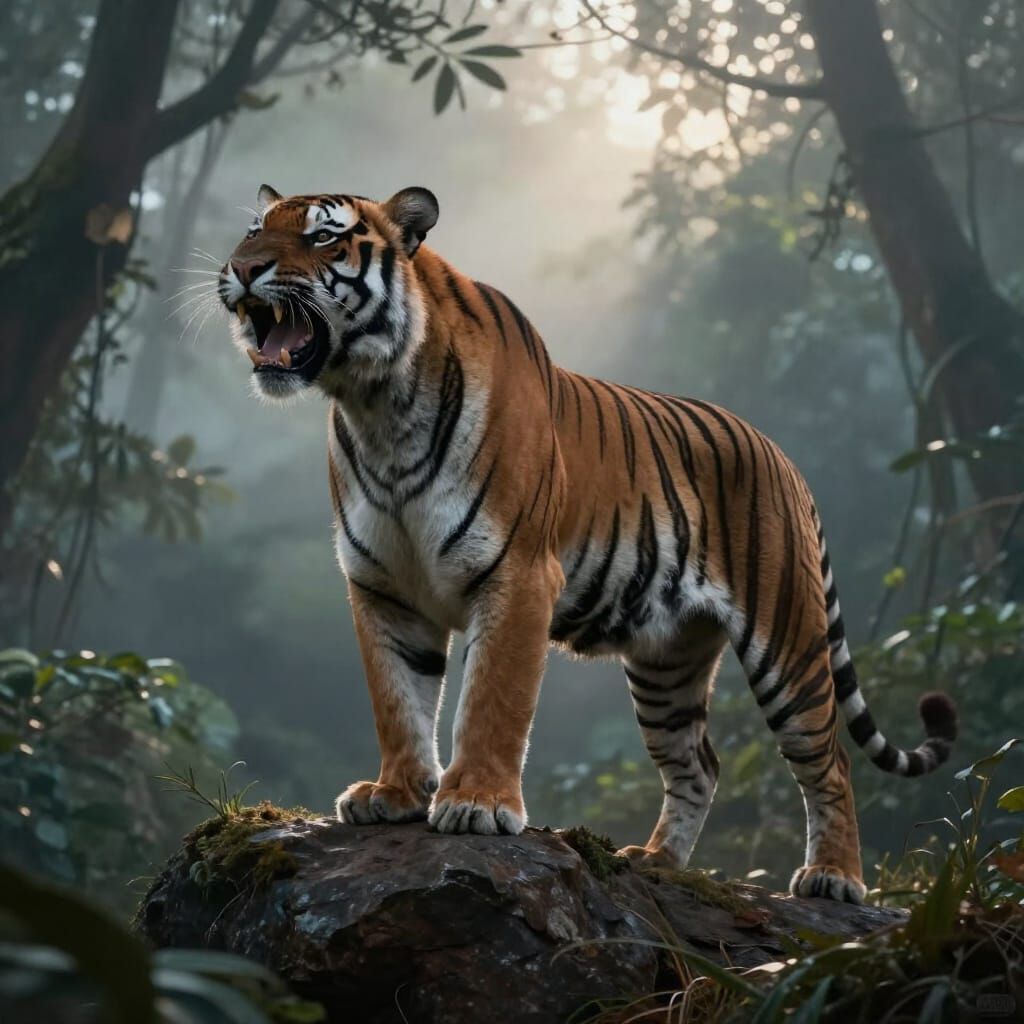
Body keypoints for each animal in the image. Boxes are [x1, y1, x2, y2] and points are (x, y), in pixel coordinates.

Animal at [217, 183, 958, 903]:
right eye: (253, 232)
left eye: (323, 236)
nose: (243, 269)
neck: (377, 405)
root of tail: (783, 456)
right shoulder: (382, 587)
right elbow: (397, 700)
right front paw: (395, 795)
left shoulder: (516, 575)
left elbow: (492, 700)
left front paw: (477, 804)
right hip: (667, 663)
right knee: (698, 764)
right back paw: (657, 862)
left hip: (787, 641)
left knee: (829, 762)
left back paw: (835, 878)